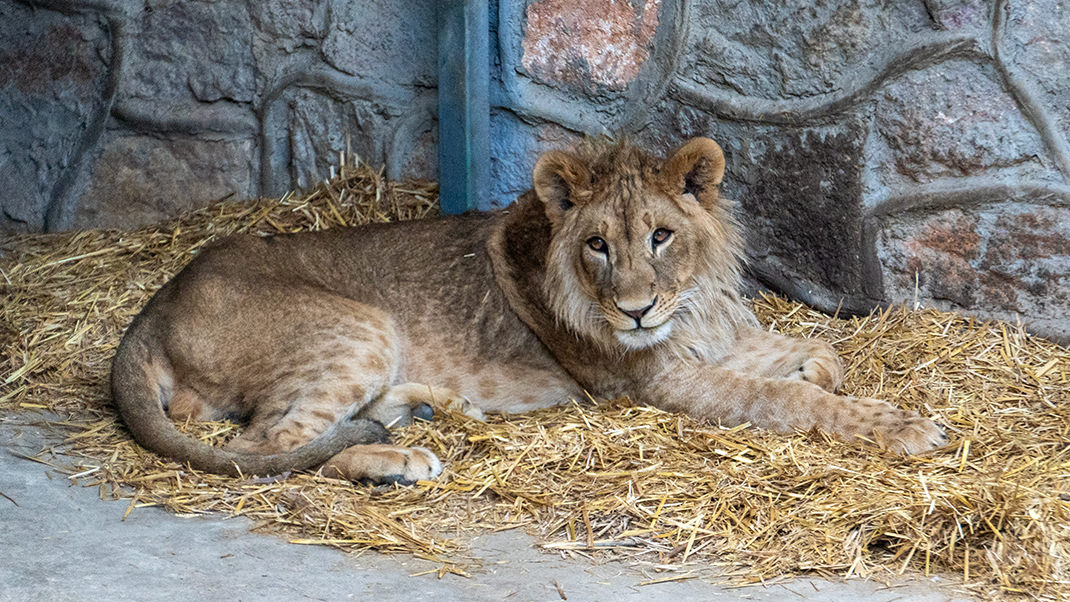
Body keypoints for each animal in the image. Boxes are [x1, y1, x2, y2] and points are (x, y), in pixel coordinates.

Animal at [110, 137, 945, 485]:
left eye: (661, 234)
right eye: (599, 245)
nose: (635, 312)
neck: (688, 301)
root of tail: (155, 303)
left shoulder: (708, 340)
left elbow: (816, 353)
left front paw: (816, 369)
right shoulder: (657, 382)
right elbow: (787, 400)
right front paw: (905, 426)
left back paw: (424, 412)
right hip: (360, 327)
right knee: (265, 444)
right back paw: (397, 462)